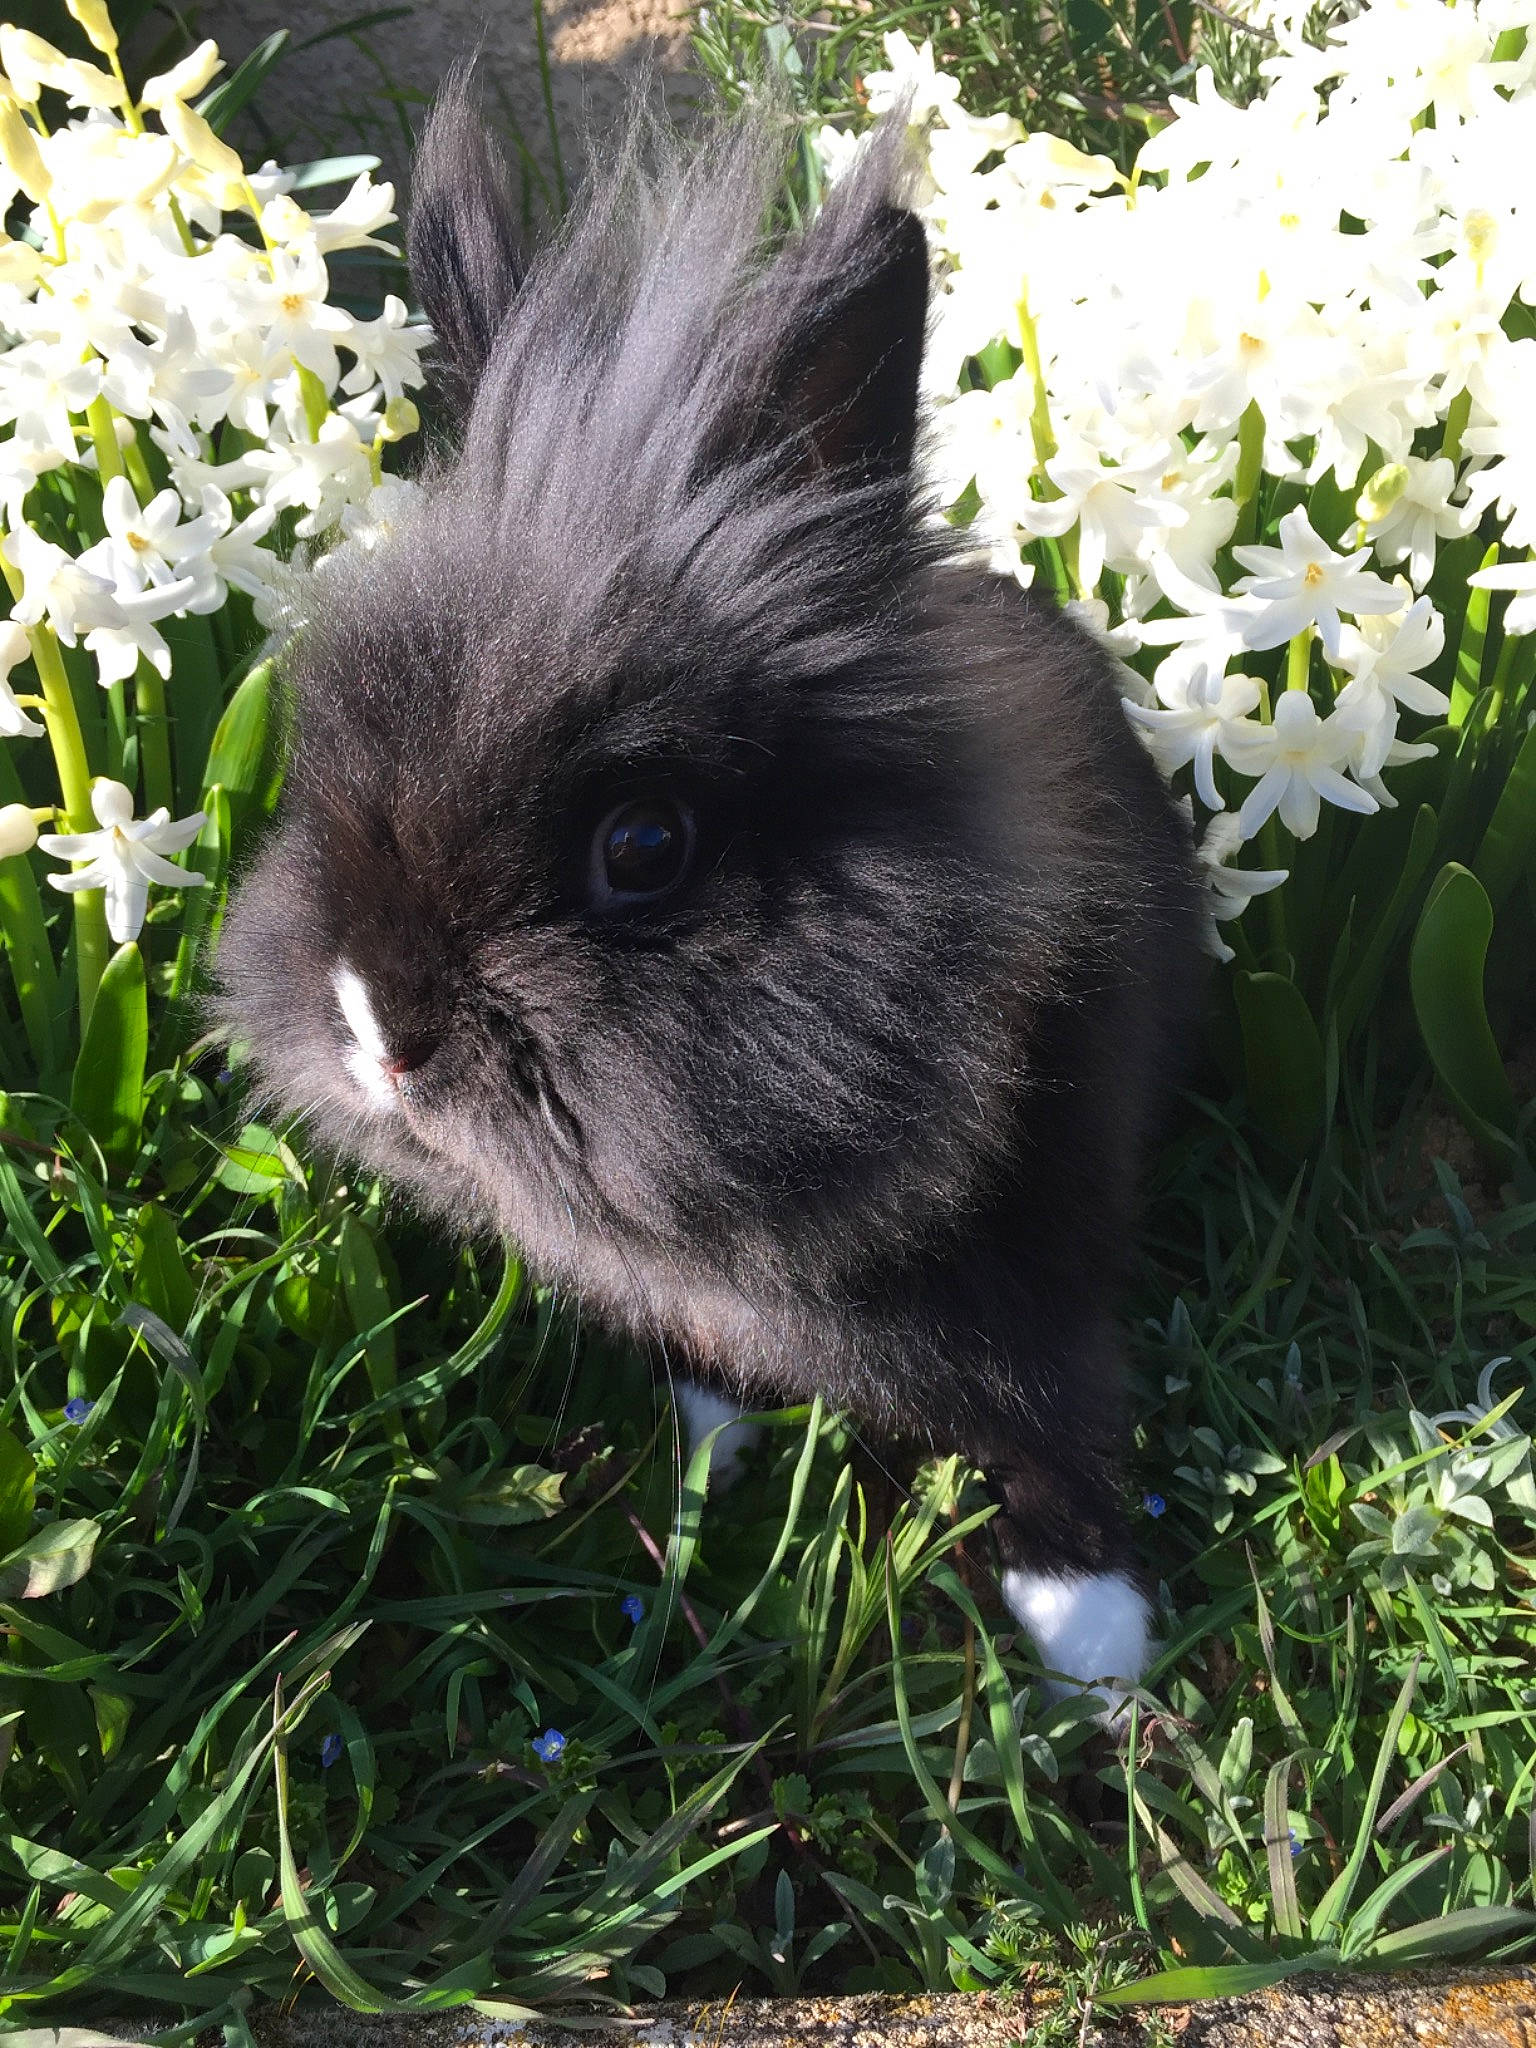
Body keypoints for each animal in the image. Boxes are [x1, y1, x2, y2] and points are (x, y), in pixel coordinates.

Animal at [217, 77, 1208, 1709]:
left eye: (643, 847)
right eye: (320, 760)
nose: (377, 1035)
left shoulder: (1047, 1259)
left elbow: (1057, 1418)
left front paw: (1094, 1639)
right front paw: (705, 1445)